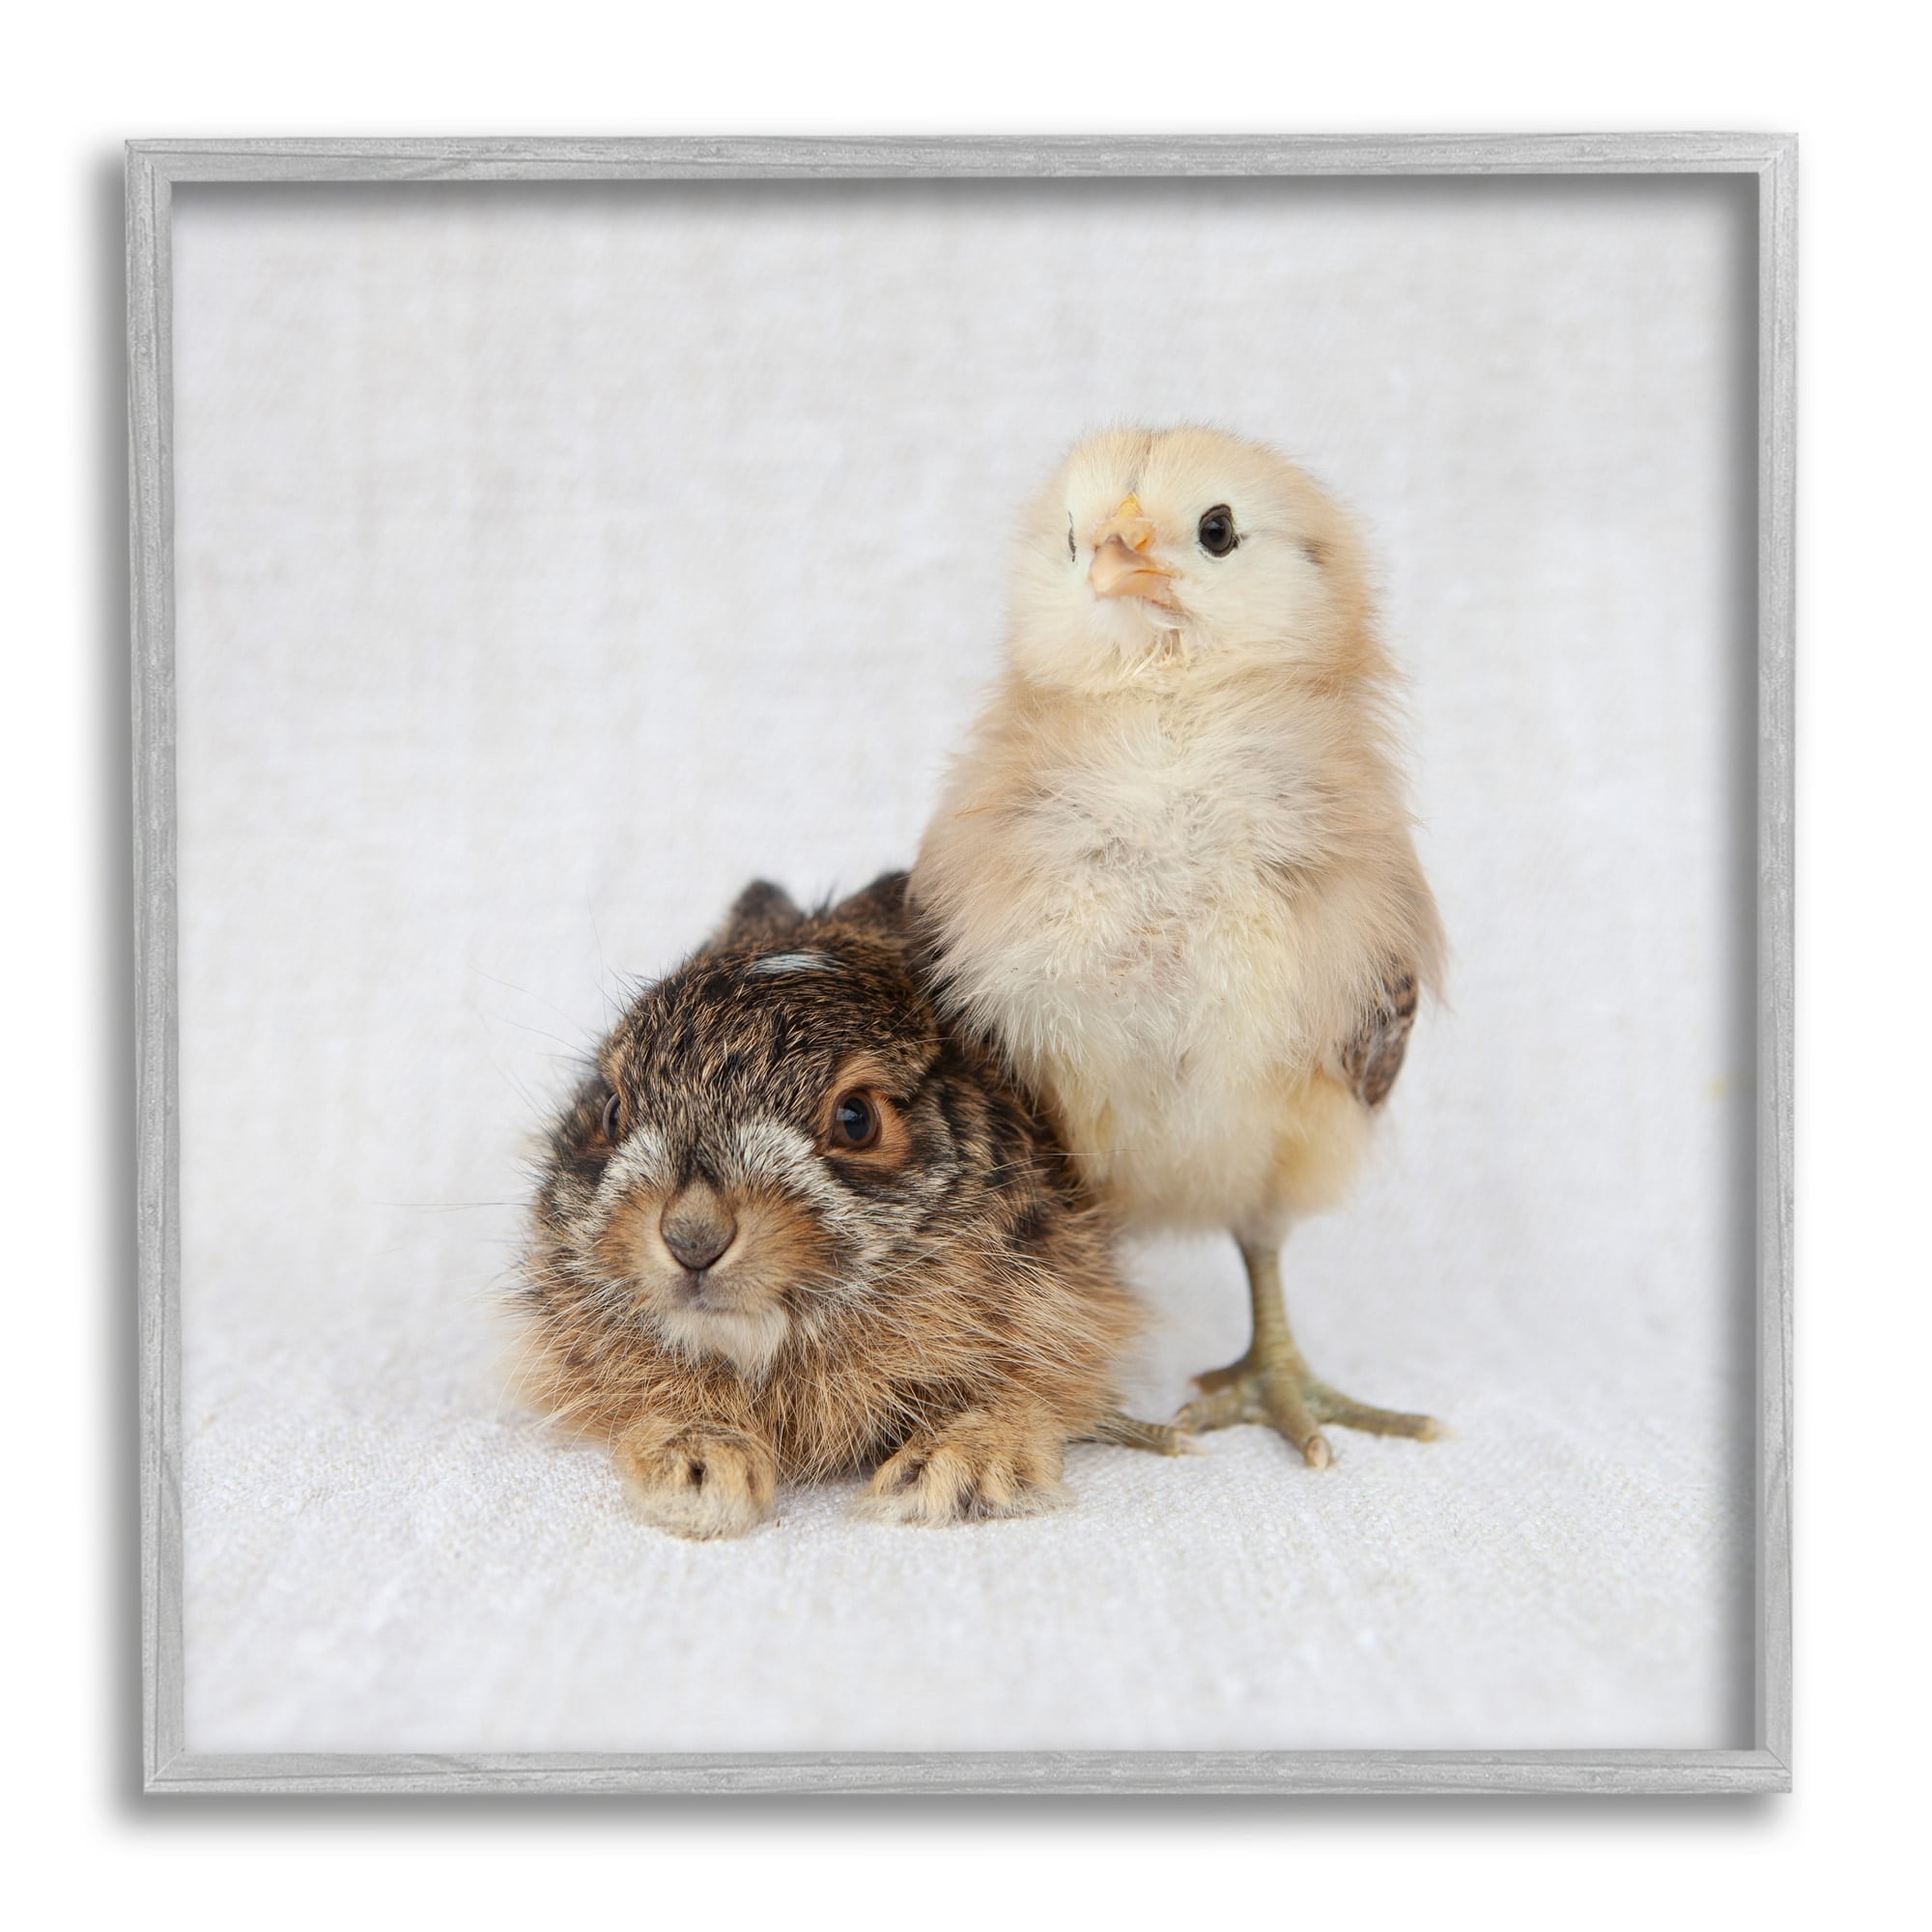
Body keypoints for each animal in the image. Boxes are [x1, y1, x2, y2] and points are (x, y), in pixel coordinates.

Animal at [516, 871, 1175, 1540]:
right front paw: (699, 1474)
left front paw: (951, 1475)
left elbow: (1022, 1393)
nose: (693, 1239)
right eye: (612, 1112)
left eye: (856, 1119)